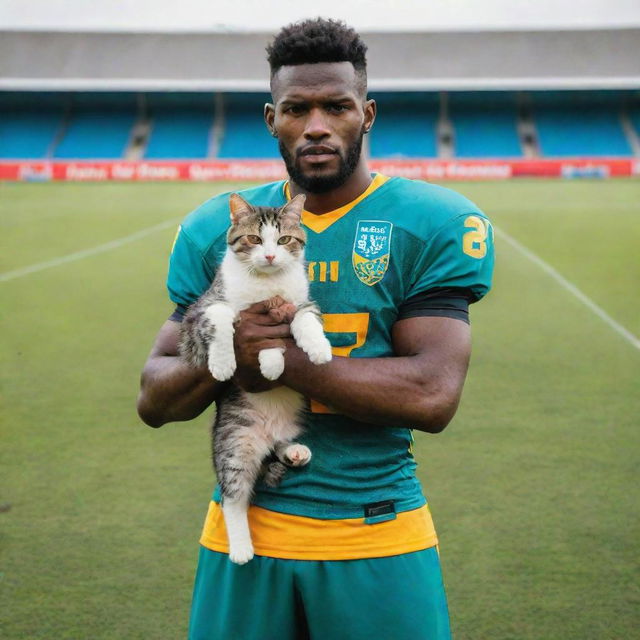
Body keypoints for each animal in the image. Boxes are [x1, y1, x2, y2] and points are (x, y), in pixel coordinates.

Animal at [178, 192, 332, 564]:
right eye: (254, 239)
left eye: (285, 240)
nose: (271, 256)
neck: (265, 285)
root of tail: (265, 436)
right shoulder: (200, 313)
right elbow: (220, 317)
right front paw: (223, 363)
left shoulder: (301, 303)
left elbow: (305, 320)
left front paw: (315, 349)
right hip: (234, 443)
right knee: (234, 498)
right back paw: (241, 548)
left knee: (280, 448)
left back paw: (295, 451)